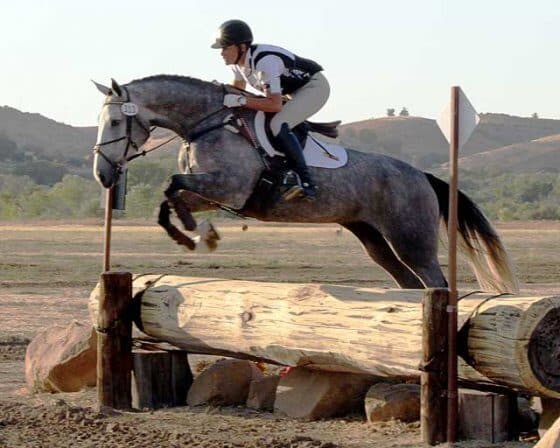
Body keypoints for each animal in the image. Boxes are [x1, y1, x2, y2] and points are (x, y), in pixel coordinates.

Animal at [92, 76, 518, 293]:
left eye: (113, 122)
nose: (103, 175)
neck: (208, 123)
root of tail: (422, 177)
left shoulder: (229, 187)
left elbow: (171, 184)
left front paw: (195, 233)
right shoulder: (214, 194)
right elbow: (171, 196)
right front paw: (192, 233)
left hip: (411, 239)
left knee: (434, 282)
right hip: (374, 239)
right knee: (408, 283)